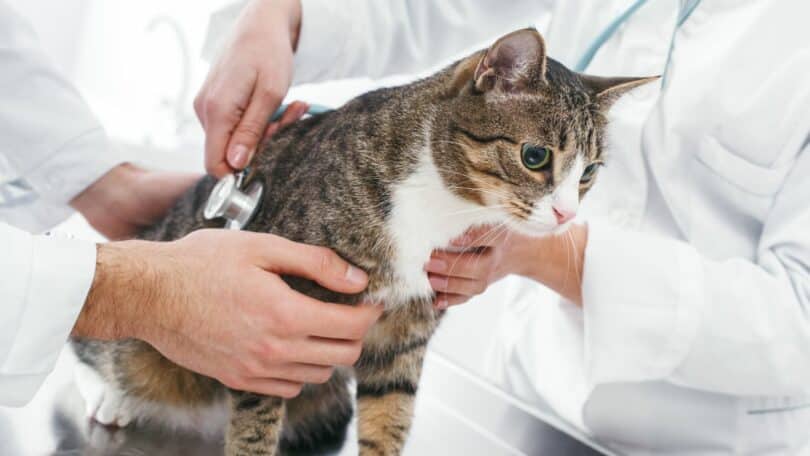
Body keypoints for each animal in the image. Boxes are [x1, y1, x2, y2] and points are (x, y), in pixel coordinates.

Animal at [69, 29, 652, 456]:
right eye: (535, 157)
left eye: (589, 173)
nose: (566, 215)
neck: (438, 206)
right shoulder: (273, 326)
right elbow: (256, 420)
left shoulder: (404, 334)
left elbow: (389, 414)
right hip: (141, 326)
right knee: (101, 346)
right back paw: (111, 396)